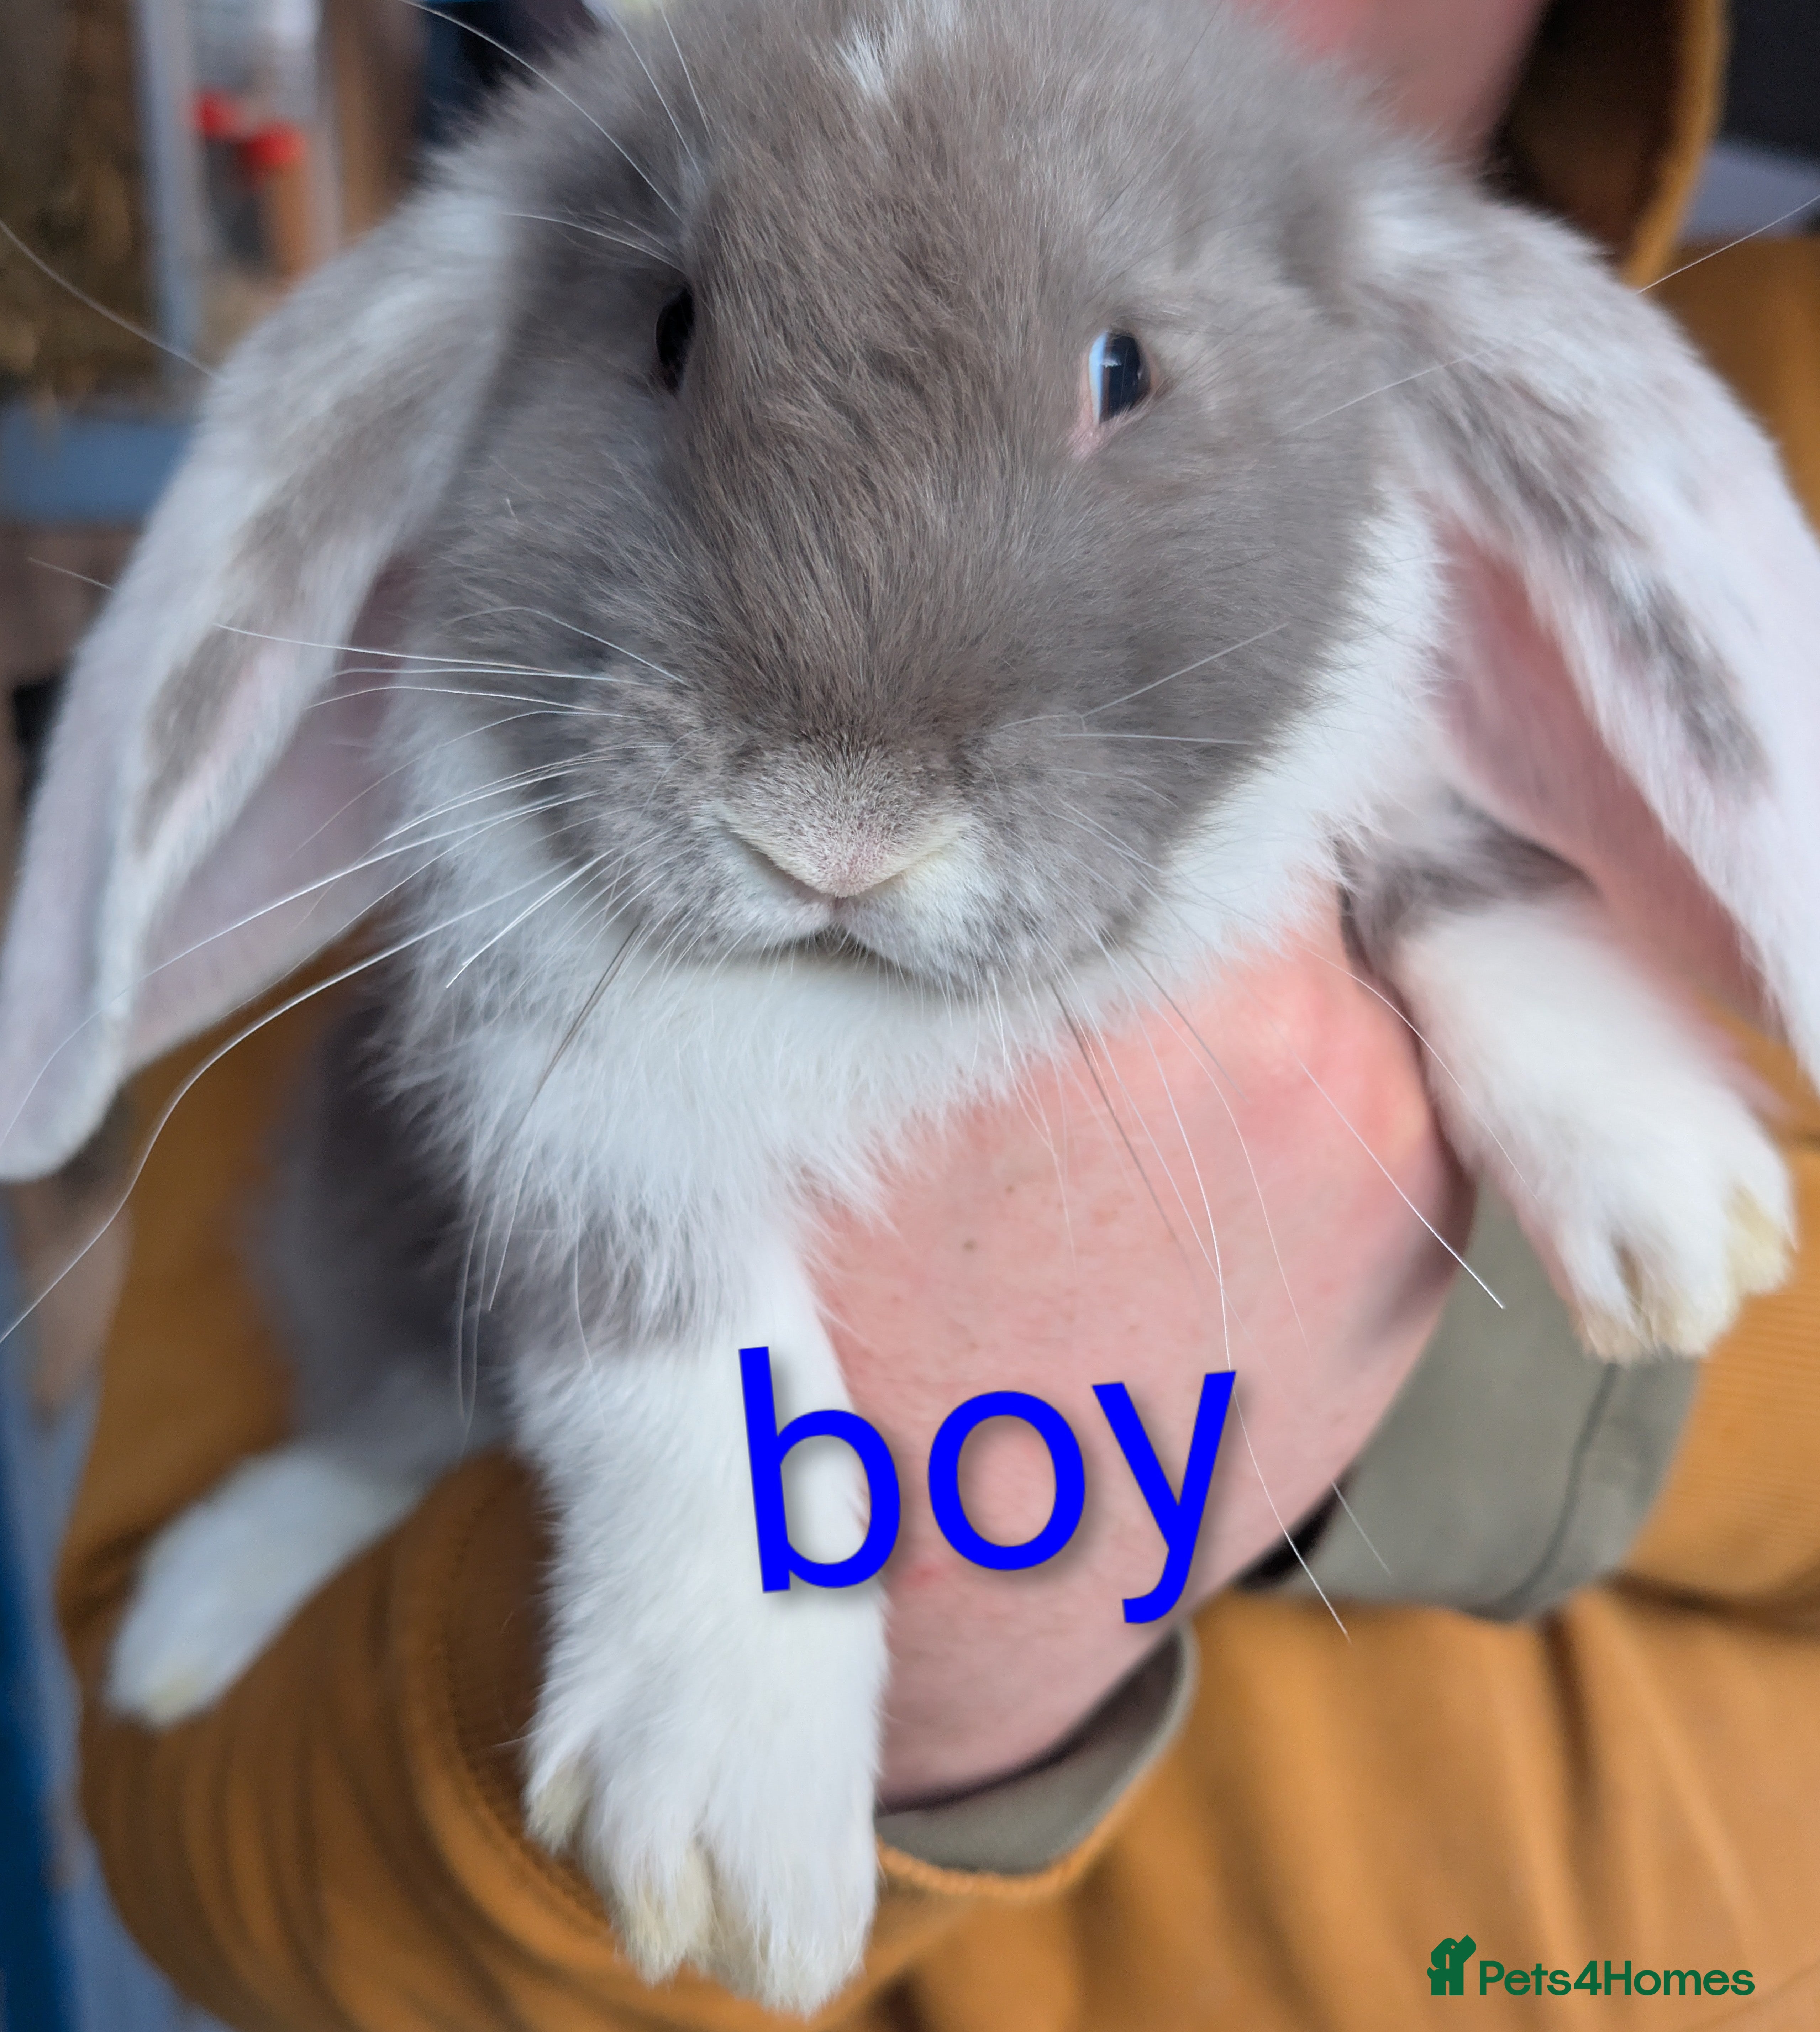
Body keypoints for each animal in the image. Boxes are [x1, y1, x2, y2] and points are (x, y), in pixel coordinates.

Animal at [5, 0, 1820, 2009]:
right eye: (667, 329)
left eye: (1121, 367)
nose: (831, 827)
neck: (859, 994)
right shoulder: (567, 1111)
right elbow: (690, 1358)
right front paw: (720, 1818)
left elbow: (1449, 851)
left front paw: (1672, 1201)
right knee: (381, 1425)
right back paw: (198, 1609)